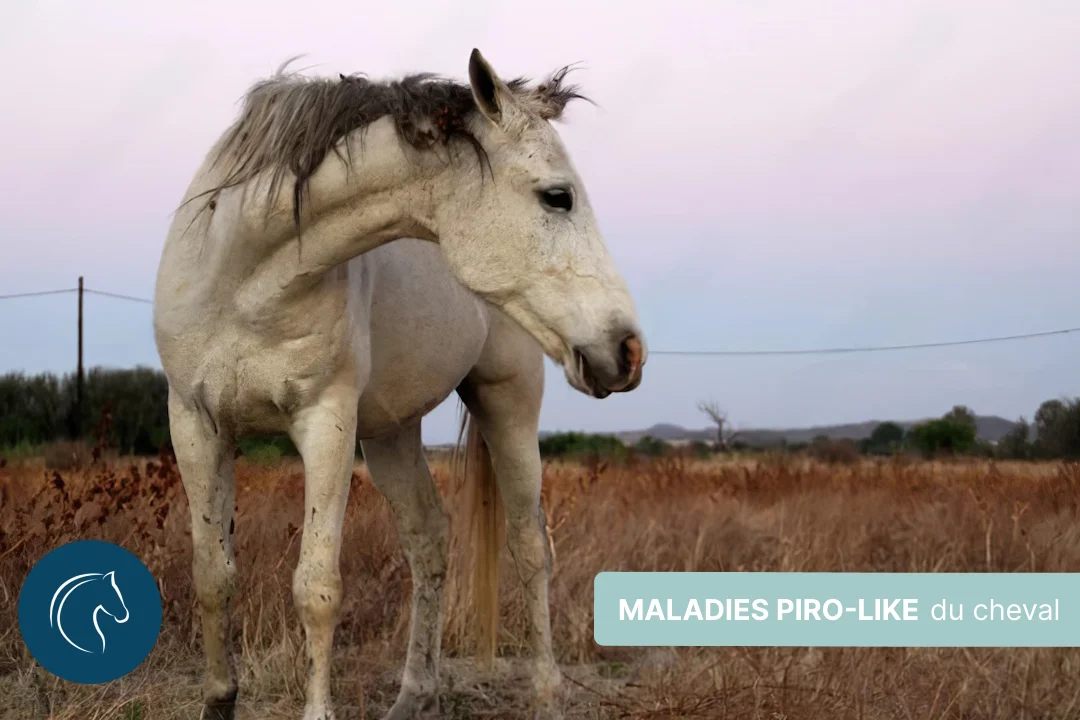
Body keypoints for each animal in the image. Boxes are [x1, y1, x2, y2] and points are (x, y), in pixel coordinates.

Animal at [153, 49, 646, 720]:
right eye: (558, 196)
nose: (628, 350)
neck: (245, 276)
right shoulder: (196, 423)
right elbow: (212, 573)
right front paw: (219, 699)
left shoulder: (325, 424)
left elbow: (317, 587)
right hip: (391, 433)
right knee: (429, 538)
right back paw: (416, 694)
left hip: (508, 404)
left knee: (529, 546)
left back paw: (546, 695)